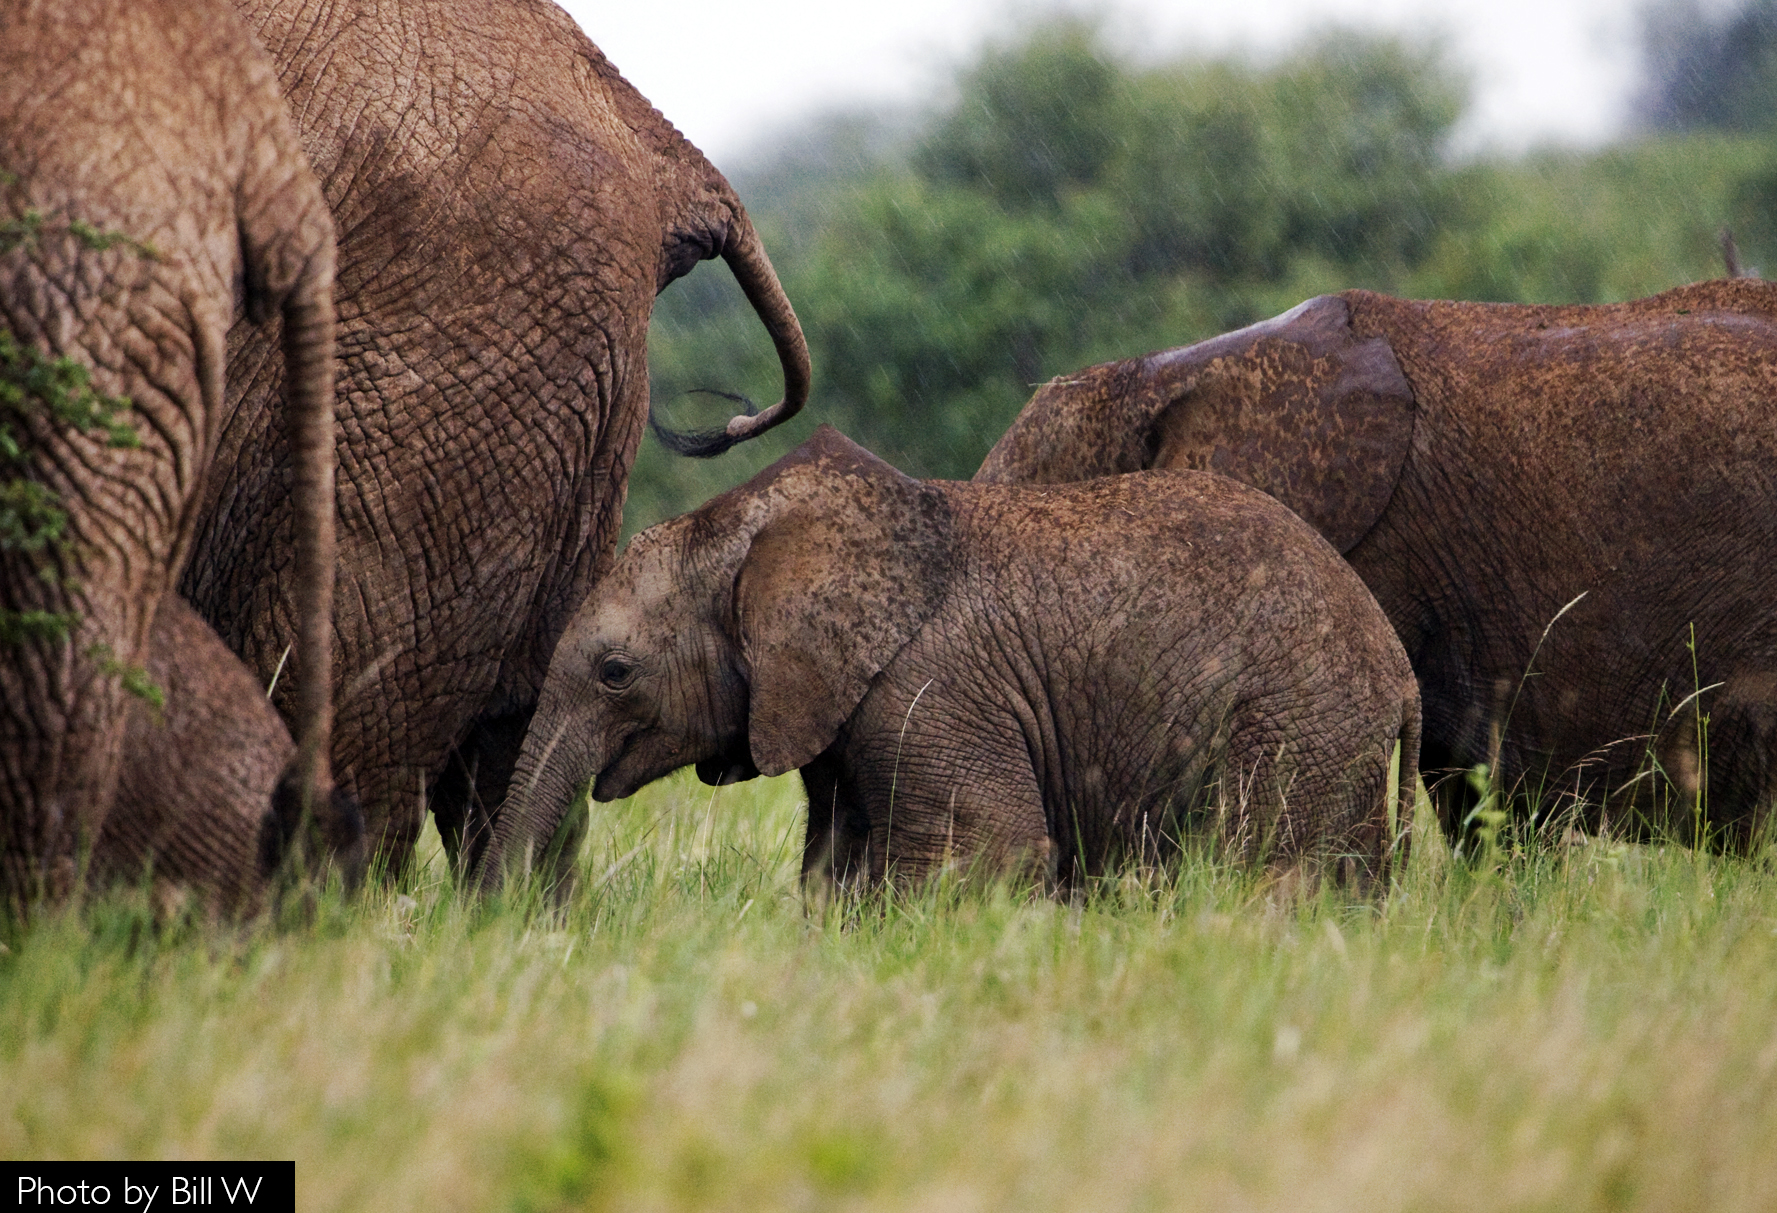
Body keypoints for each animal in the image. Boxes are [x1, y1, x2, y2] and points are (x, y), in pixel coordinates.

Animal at [479, 424, 1421, 891]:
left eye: (616, 673)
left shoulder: (926, 686)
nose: (494, 921)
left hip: (1298, 722)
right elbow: (836, 865)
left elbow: (987, 850)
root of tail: (1397, 665)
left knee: (1266, 870)